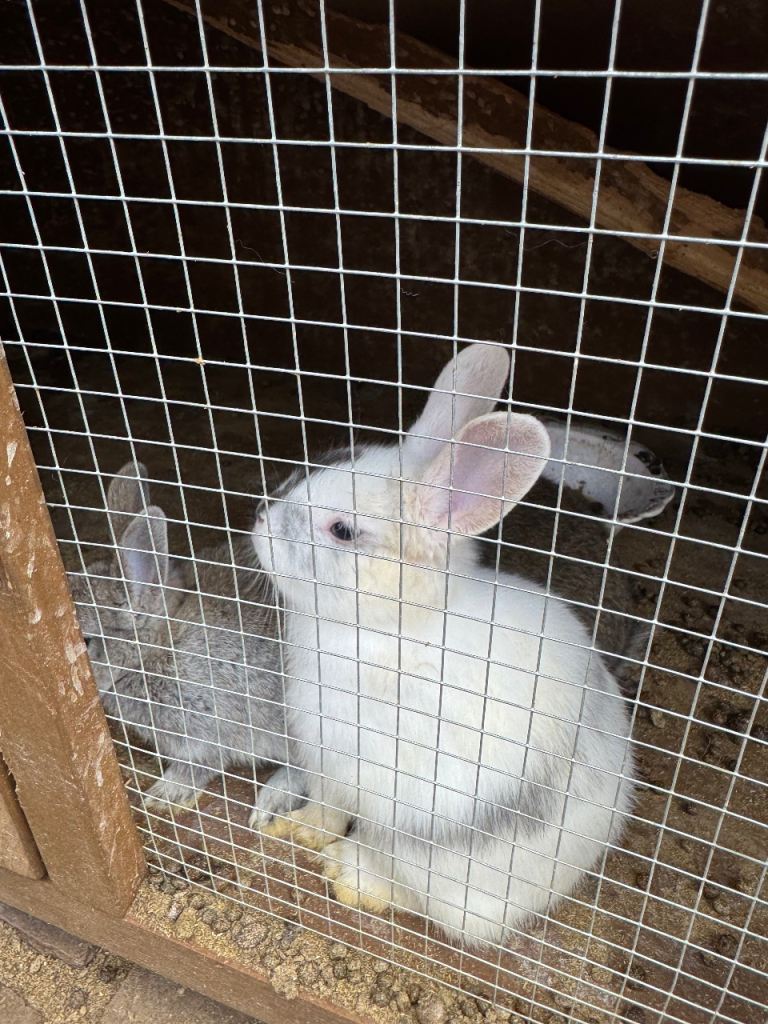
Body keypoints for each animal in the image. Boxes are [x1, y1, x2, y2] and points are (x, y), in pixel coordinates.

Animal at [68, 460, 307, 817]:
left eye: (85, 642)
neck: (157, 648)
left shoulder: (205, 732)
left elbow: (198, 766)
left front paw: (164, 793)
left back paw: (271, 801)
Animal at [249, 343, 636, 948]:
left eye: (342, 531)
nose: (260, 519)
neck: (389, 630)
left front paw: (337, 863)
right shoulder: (329, 769)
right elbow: (327, 809)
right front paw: (298, 830)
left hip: (430, 851)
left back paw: (350, 876)